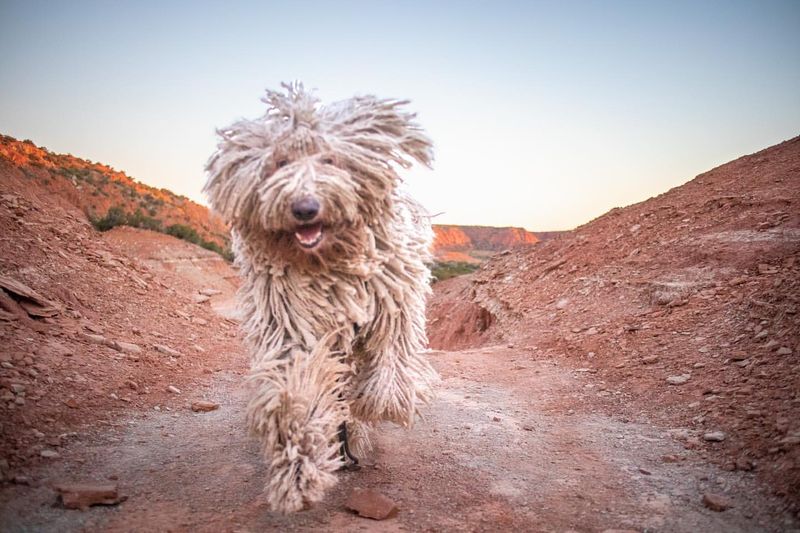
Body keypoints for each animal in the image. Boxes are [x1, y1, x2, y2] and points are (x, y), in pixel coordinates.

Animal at [200, 82, 438, 512]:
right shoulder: (294, 324)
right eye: (279, 162)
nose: (305, 207)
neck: (330, 262)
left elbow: (390, 357)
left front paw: (376, 404)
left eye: (330, 159)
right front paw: (299, 463)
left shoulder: (392, 300)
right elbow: (301, 387)